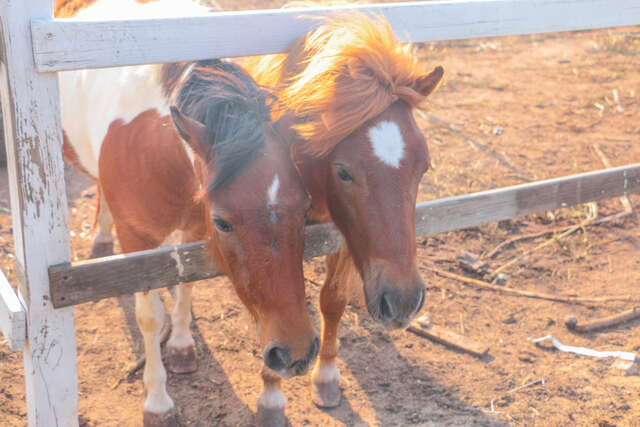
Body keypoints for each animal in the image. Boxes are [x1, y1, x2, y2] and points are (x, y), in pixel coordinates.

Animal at [56, 2, 318, 426]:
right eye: (224, 222)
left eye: (306, 207)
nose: (295, 353)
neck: (156, 144)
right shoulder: (138, 241)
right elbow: (149, 317)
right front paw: (157, 400)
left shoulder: (194, 228)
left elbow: (187, 284)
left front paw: (180, 346)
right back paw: (101, 240)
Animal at [245, 8, 444, 409]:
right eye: (343, 171)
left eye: (423, 167)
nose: (403, 301)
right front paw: (271, 391)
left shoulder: (345, 235)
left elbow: (332, 301)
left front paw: (326, 377)